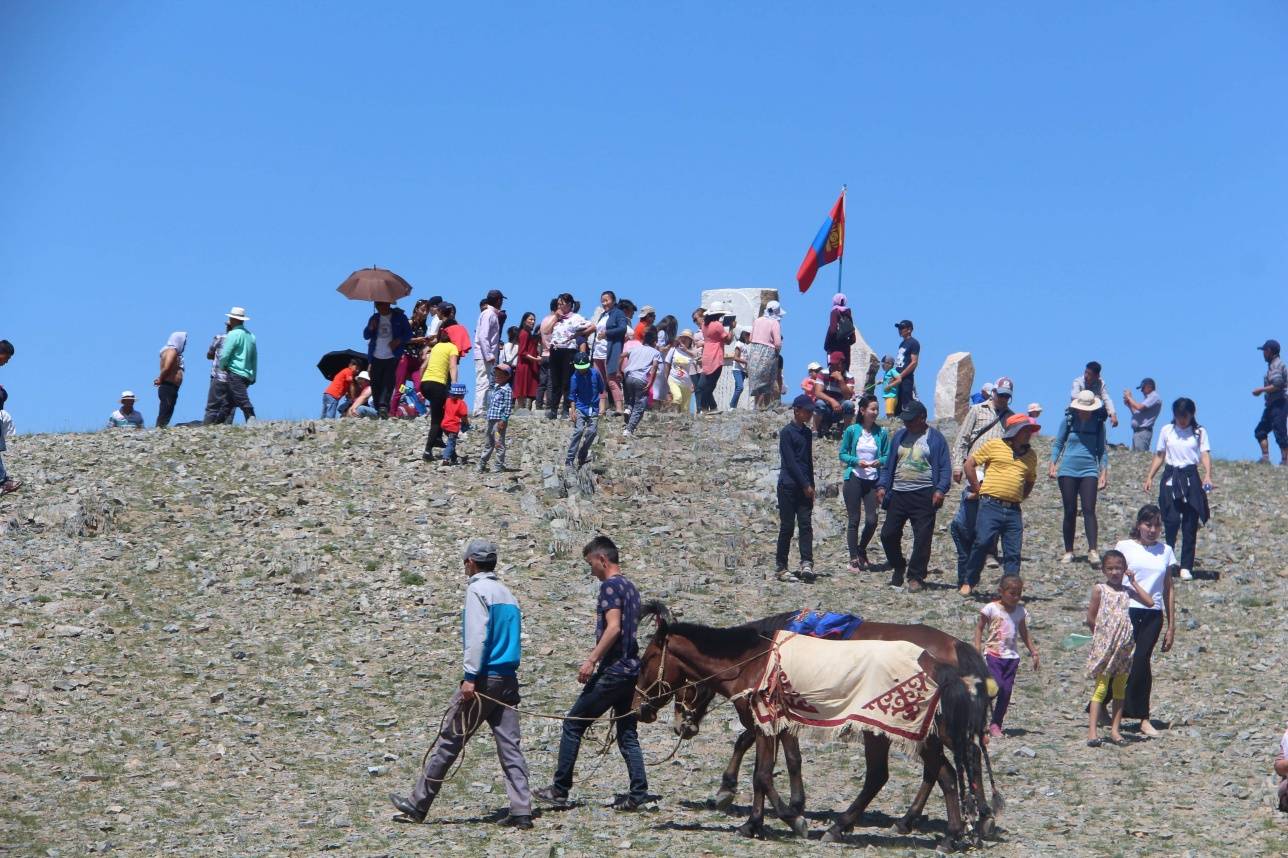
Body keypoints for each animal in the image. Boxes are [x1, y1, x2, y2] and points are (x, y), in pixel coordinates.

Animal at [628, 597, 989, 845]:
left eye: (646, 660)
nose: (640, 709)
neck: (752, 659)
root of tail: (944, 656)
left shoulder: (764, 721)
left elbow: (759, 768)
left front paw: (774, 811)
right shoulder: (778, 723)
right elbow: (781, 764)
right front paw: (761, 820)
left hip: (892, 732)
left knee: (901, 773)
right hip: (918, 734)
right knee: (948, 769)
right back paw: (949, 829)